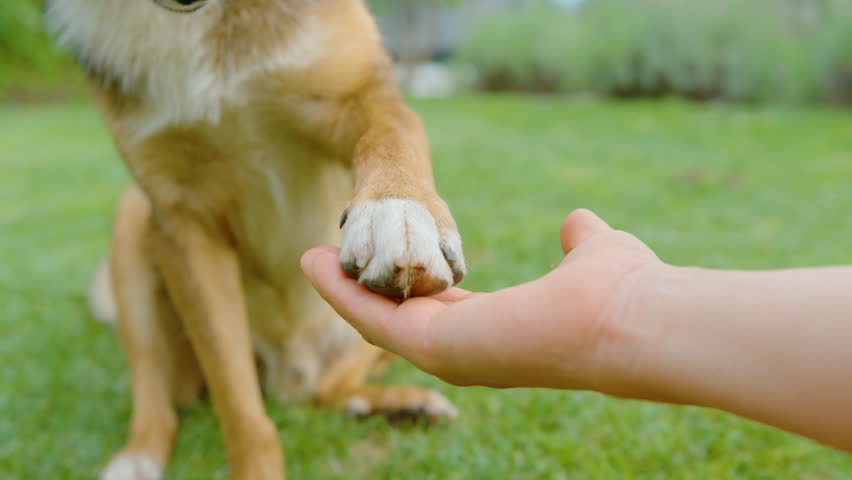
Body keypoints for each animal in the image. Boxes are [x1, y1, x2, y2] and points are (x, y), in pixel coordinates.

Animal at [46, 1, 466, 478]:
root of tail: (288, 373)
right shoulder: (183, 218)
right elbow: (240, 409)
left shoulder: (356, 95)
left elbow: (393, 130)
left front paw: (397, 210)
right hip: (133, 219)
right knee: (155, 390)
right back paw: (138, 456)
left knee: (328, 389)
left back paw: (396, 404)